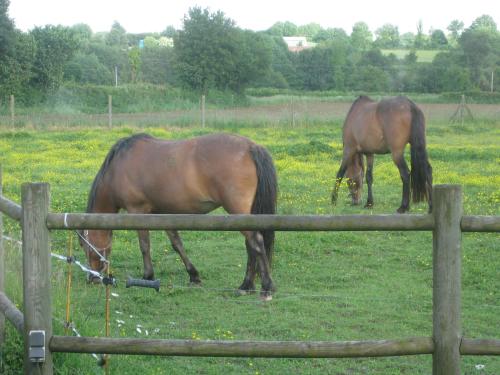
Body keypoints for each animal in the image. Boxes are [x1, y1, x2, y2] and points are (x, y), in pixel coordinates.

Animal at [80, 134, 280, 302]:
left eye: (85, 246)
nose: (92, 278)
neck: (119, 166)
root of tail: (250, 147)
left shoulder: (137, 211)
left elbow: (144, 246)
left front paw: (147, 276)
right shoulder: (163, 214)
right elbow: (177, 244)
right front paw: (194, 275)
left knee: (256, 243)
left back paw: (265, 288)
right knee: (251, 246)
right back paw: (247, 286)